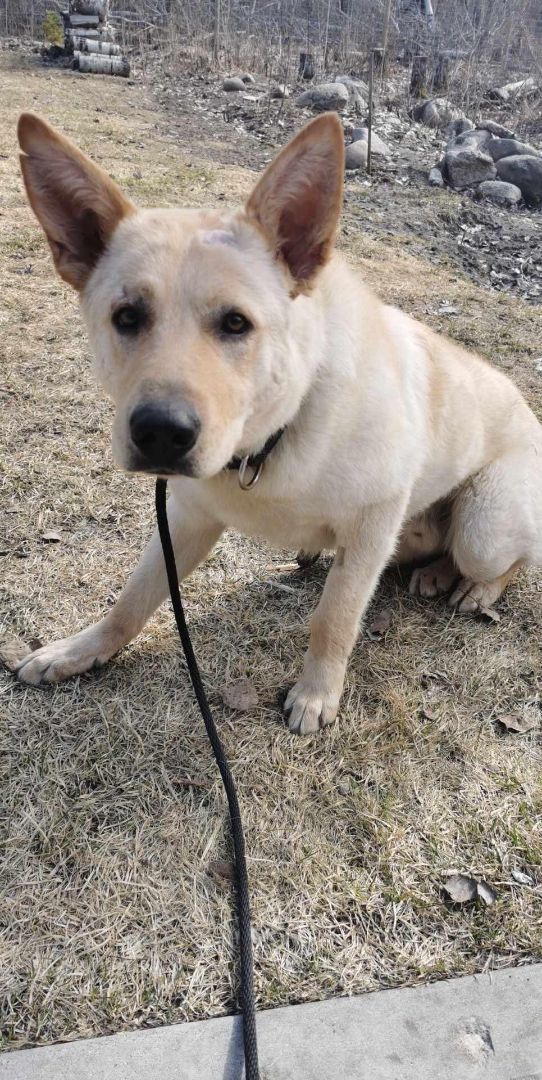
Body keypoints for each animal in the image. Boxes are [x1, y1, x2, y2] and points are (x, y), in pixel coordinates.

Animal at [14, 111, 539, 734]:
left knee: (511, 559)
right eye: (127, 317)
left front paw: (316, 694)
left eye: (236, 323)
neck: (269, 441)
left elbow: (334, 618)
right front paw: (83, 650)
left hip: (482, 527)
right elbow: (133, 598)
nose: (161, 433)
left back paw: (475, 590)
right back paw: (432, 572)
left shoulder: (372, 523)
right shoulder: (186, 518)